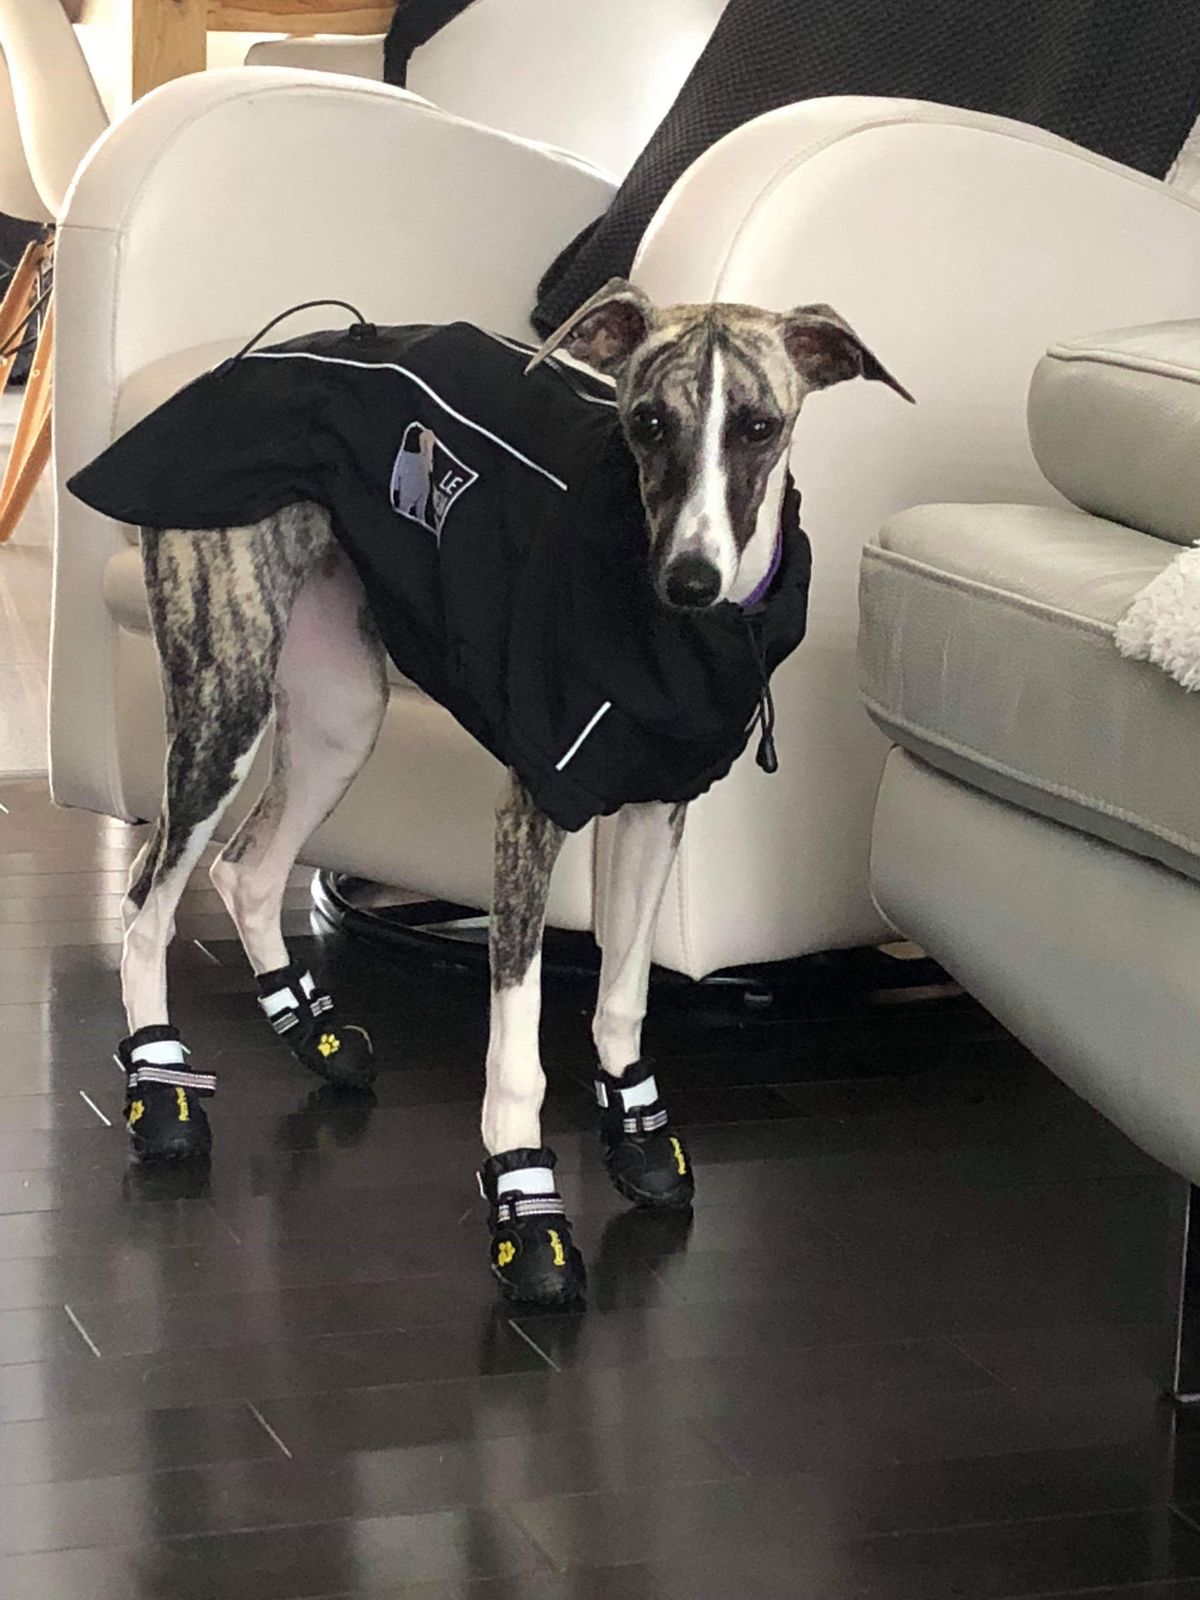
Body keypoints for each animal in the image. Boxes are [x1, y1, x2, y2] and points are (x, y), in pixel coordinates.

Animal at [68, 278, 910, 1306]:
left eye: (759, 426)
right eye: (646, 422)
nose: (690, 580)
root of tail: (254, 355)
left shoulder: (654, 807)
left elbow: (623, 995)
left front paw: (639, 1135)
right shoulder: (530, 813)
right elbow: (517, 1045)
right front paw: (526, 1208)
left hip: (343, 710)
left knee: (247, 870)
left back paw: (313, 1034)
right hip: (226, 691)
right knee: (147, 896)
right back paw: (160, 1088)